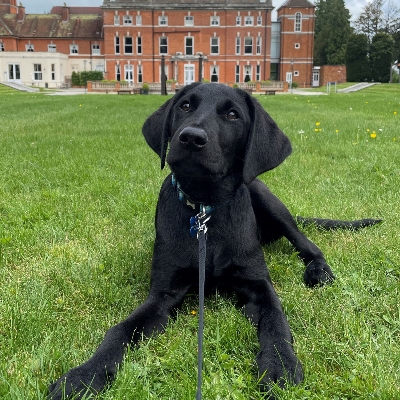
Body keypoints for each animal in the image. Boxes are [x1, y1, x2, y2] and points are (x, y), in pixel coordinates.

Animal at [48, 83, 380, 398]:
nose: (191, 138)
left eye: (233, 114)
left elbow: (277, 322)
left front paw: (280, 365)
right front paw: (84, 374)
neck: (205, 209)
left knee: (308, 244)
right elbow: (120, 331)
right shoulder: (162, 294)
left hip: (267, 197)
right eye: (184, 106)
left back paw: (318, 271)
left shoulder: (260, 285)